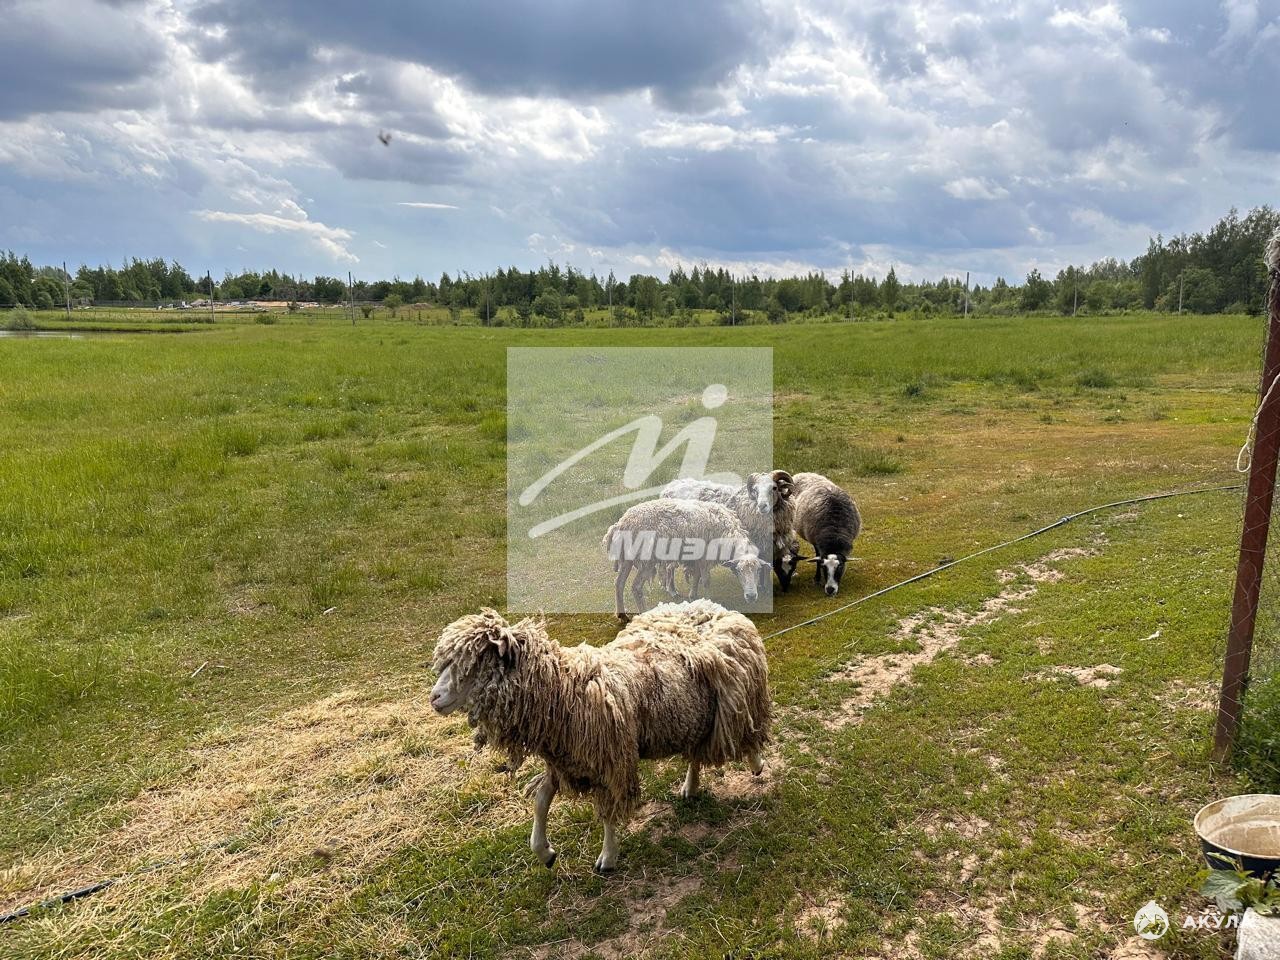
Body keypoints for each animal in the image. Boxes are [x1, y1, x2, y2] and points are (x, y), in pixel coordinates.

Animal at [429, 600, 771, 871]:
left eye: (476, 663)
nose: (434, 698)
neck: (565, 690)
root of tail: (715, 608)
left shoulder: (611, 760)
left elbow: (608, 811)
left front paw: (608, 857)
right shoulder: (566, 758)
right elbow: (541, 801)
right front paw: (545, 852)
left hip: (736, 700)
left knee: (748, 730)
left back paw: (756, 763)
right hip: (695, 716)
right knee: (697, 751)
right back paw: (691, 785)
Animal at [603, 498, 770, 619]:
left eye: (758, 571)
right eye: (739, 571)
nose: (751, 596)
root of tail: (620, 523)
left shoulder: (697, 557)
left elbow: (696, 577)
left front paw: (693, 596)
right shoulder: (705, 556)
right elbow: (706, 580)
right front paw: (708, 600)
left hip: (628, 558)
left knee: (618, 583)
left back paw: (621, 615)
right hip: (646, 560)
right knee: (636, 587)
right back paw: (643, 613)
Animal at [661, 470, 798, 591]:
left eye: (774, 488)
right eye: (755, 490)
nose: (762, 506)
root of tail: (668, 488)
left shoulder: (769, 547)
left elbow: (766, 567)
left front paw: (765, 586)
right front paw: (764, 588)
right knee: (669, 568)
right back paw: (672, 590)